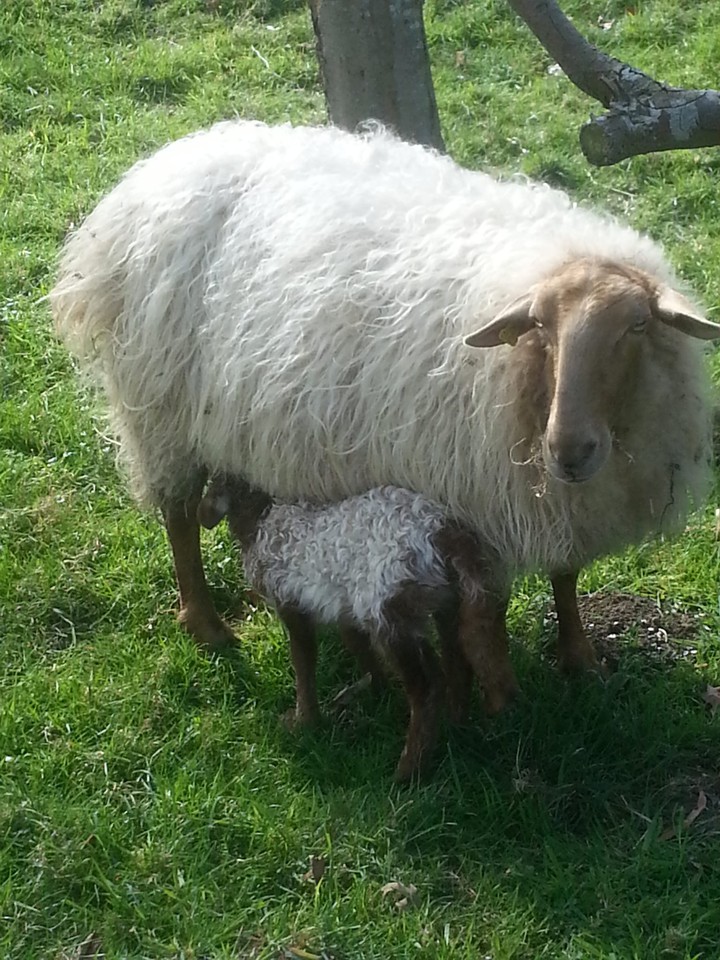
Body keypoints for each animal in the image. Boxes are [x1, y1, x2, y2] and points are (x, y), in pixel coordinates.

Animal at [51, 120, 720, 698]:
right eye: (539, 329)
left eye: (637, 325)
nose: (568, 448)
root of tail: (159, 172)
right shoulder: (480, 502)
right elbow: (492, 607)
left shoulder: (563, 500)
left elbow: (566, 575)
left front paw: (579, 657)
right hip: (159, 412)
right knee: (180, 518)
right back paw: (207, 625)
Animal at [197, 477, 513, 780]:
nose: (203, 515)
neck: (261, 514)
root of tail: (444, 533)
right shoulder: (344, 607)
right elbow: (356, 644)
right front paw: (375, 689)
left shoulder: (290, 600)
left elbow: (303, 660)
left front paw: (303, 721)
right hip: (445, 599)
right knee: (457, 658)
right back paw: (455, 725)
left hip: (389, 608)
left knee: (427, 685)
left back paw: (408, 770)